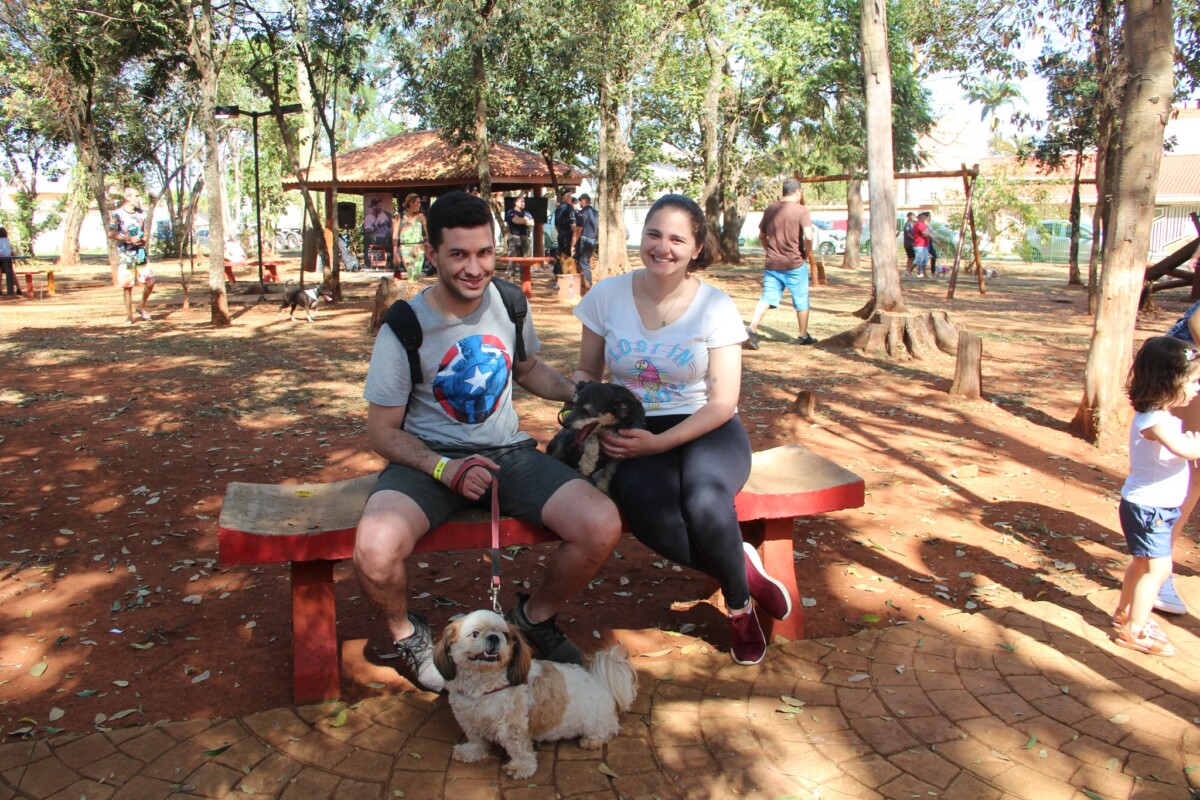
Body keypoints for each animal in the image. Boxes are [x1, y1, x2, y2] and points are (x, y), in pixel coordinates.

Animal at [433, 609, 637, 779]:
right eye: (475, 634)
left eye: (505, 635)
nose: (494, 637)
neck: (482, 687)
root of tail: (600, 681)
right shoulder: (468, 719)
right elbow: (476, 739)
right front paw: (472, 752)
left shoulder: (513, 726)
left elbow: (519, 748)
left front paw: (520, 768)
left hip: (596, 721)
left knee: (609, 729)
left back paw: (592, 740)